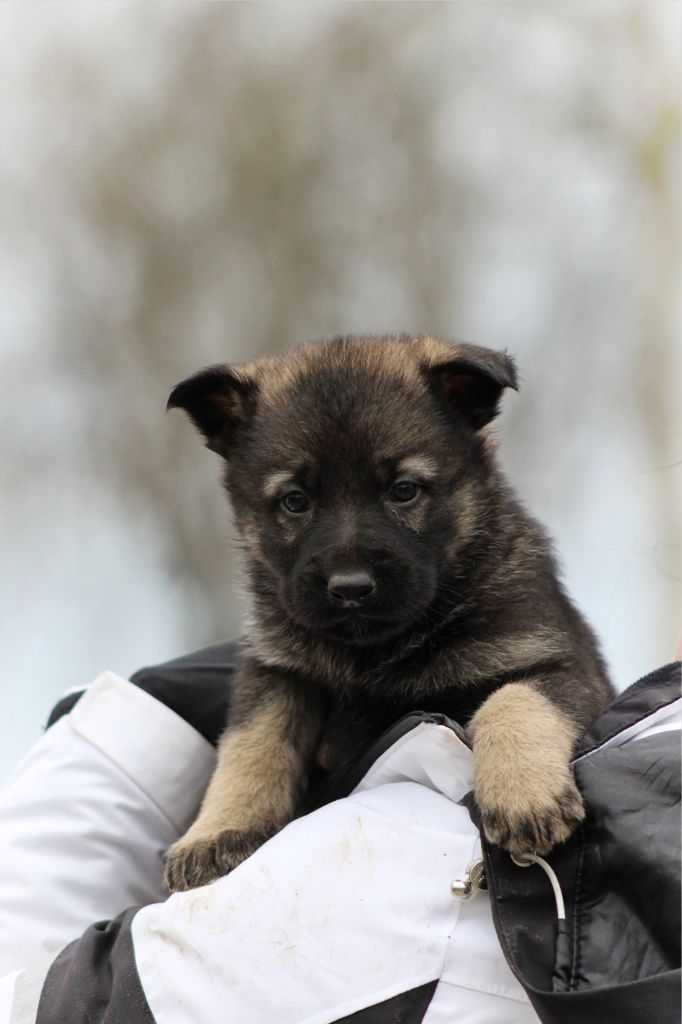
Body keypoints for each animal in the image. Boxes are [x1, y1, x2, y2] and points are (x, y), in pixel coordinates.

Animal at [163, 334, 613, 892]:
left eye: (404, 490)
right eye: (294, 500)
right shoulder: (278, 674)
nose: (350, 589)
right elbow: (251, 744)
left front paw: (522, 793)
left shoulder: (559, 666)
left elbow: (513, 700)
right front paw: (218, 828)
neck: (376, 653)